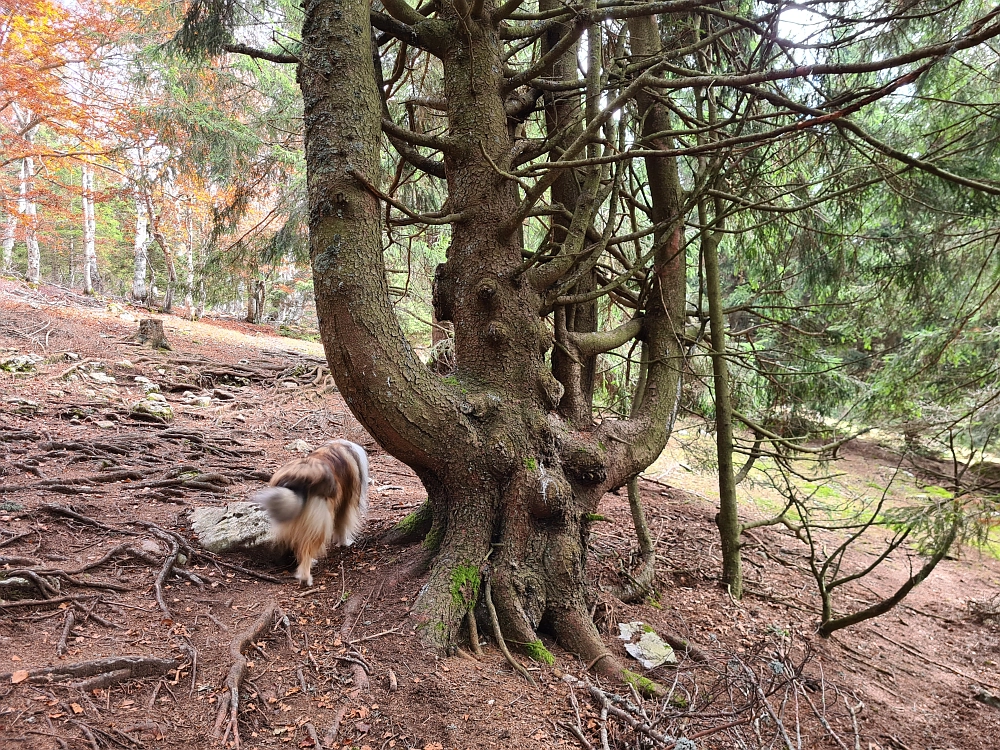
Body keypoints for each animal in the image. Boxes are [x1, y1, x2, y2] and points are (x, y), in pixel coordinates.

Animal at [254, 440, 372, 588]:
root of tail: (300, 481)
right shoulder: (345, 504)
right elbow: (342, 526)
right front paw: (344, 543)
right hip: (319, 522)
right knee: (306, 550)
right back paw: (306, 578)